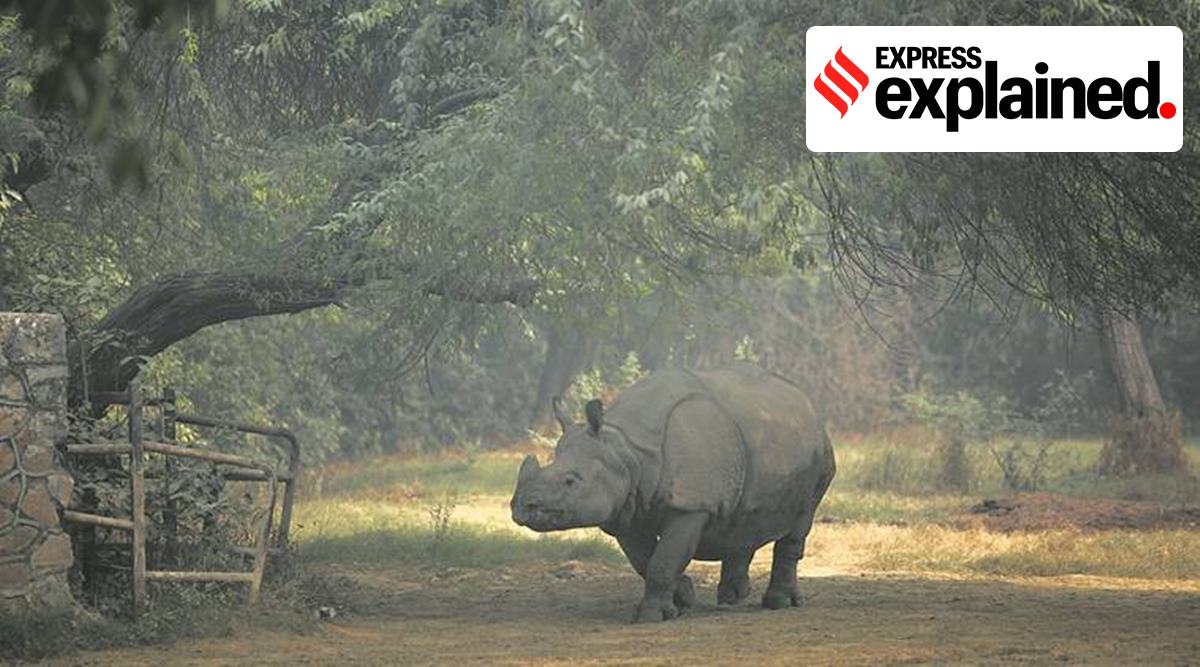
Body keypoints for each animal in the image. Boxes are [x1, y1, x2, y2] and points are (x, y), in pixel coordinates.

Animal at [511, 365, 836, 623]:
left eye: (570, 481)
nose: (523, 507)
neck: (626, 449)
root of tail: (807, 402)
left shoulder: (691, 506)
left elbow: (662, 561)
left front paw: (652, 616)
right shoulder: (626, 508)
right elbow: (645, 560)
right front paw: (684, 597)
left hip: (822, 457)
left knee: (800, 518)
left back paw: (779, 603)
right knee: (743, 520)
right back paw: (733, 597)